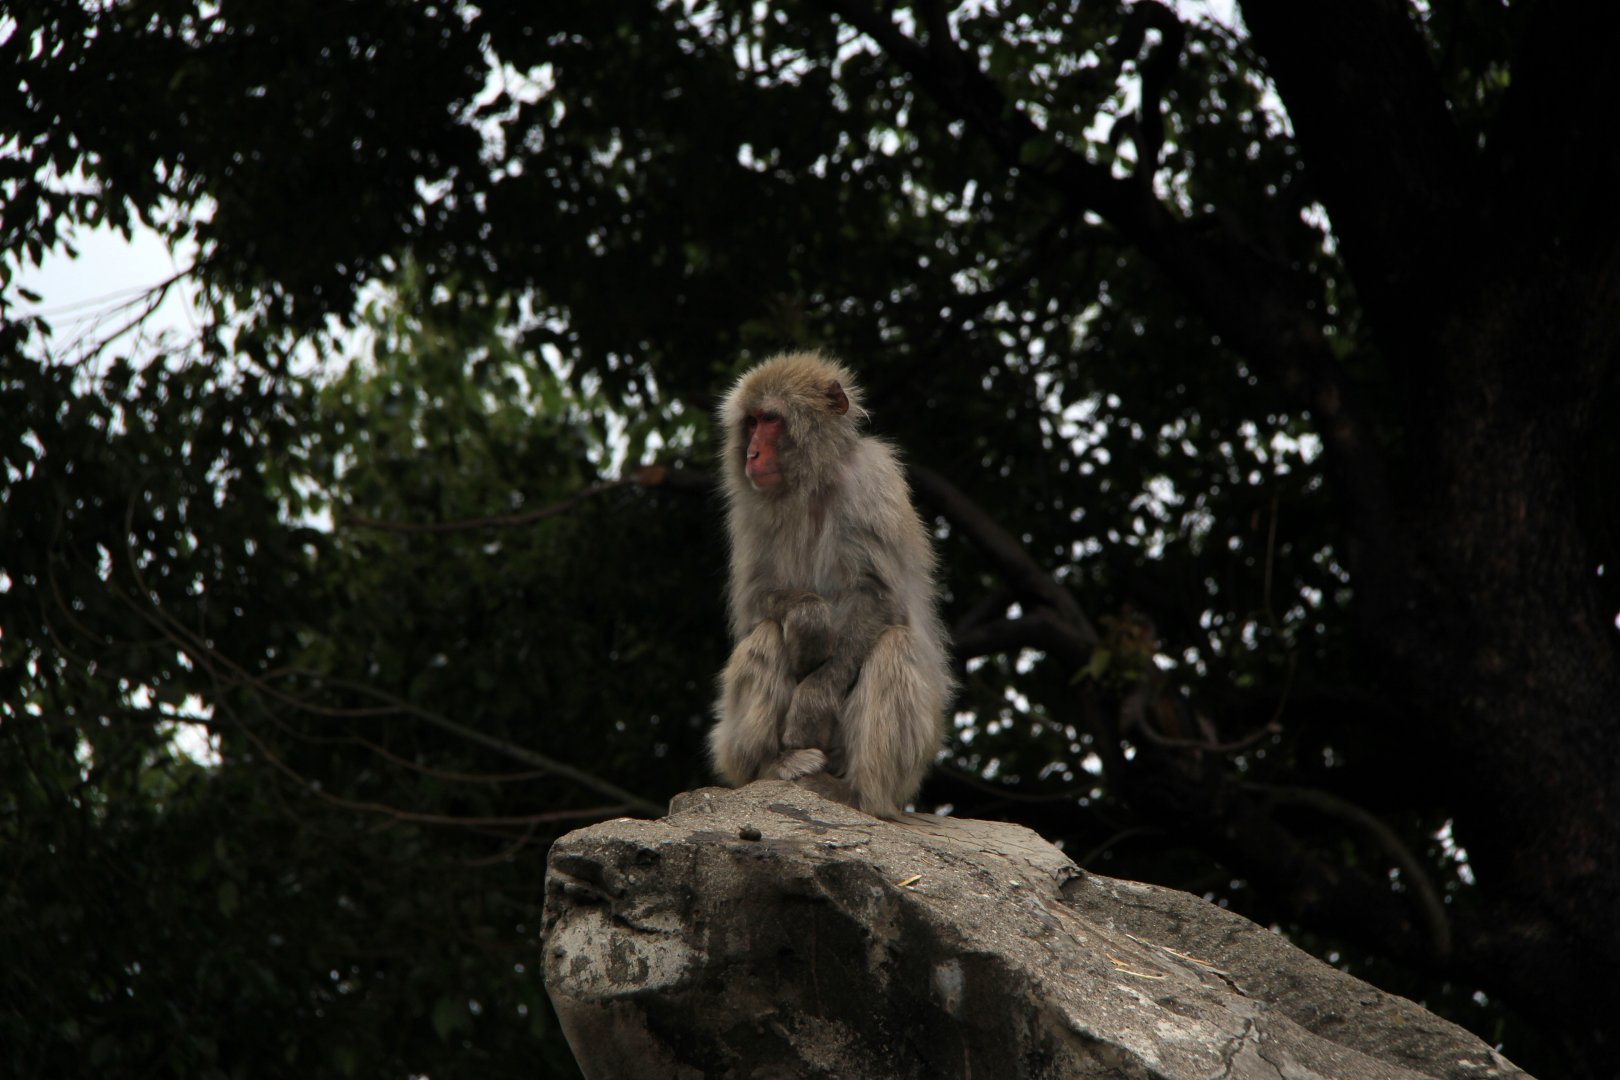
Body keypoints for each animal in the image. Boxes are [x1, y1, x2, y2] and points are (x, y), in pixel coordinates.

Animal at [709, 351, 952, 819]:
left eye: (771, 419)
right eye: (750, 422)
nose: (752, 453)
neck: (811, 483)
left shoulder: (872, 481)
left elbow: (878, 595)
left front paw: (811, 705)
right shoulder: (748, 507)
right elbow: (755, 601)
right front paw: (810, 621)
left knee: (895, 645)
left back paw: (859, 794)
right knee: (767, 634)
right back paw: (773, 765)